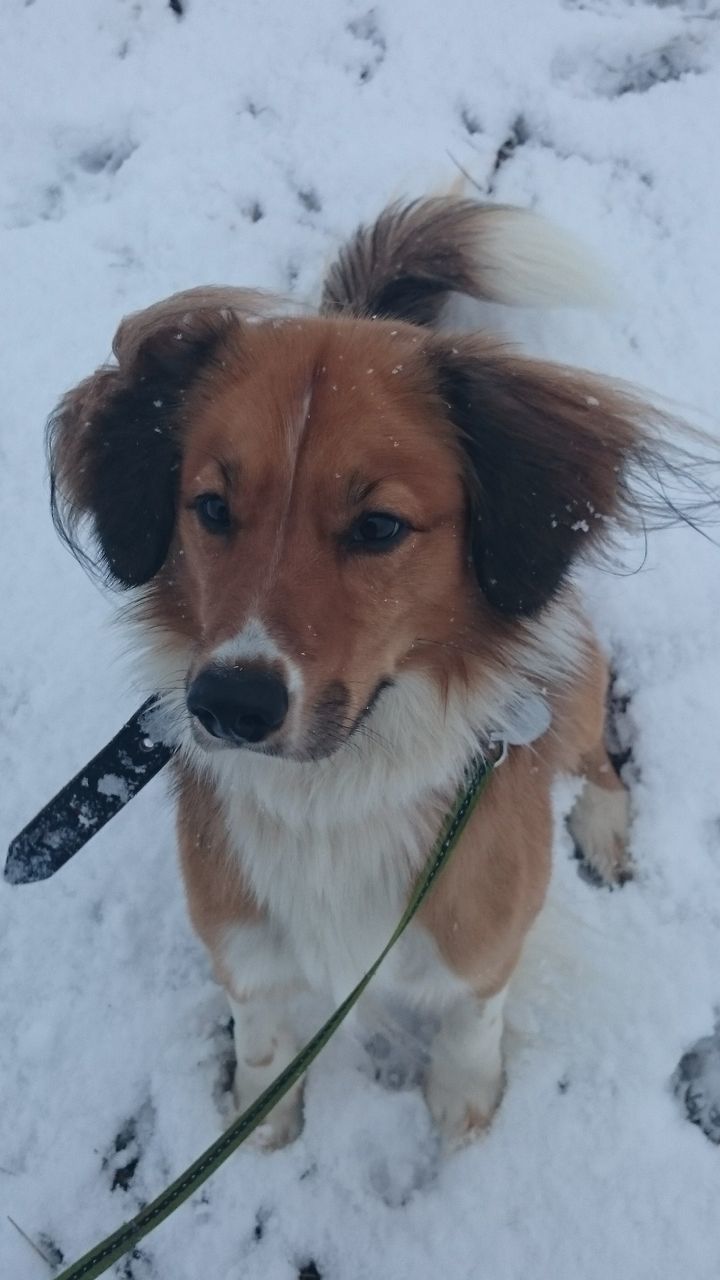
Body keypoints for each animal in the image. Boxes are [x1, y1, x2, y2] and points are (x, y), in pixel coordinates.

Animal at [49, 197, 691, 1152]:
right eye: (211, 508)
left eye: (380, 527)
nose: (229, 704)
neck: (336, 792)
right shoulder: (242, 940)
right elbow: (262, 1034)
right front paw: (263, 1119)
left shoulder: (483, 931)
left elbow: (472, 1016)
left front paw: (463, 1104)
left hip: (572, 683)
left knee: (593, 752)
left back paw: (605, 826)